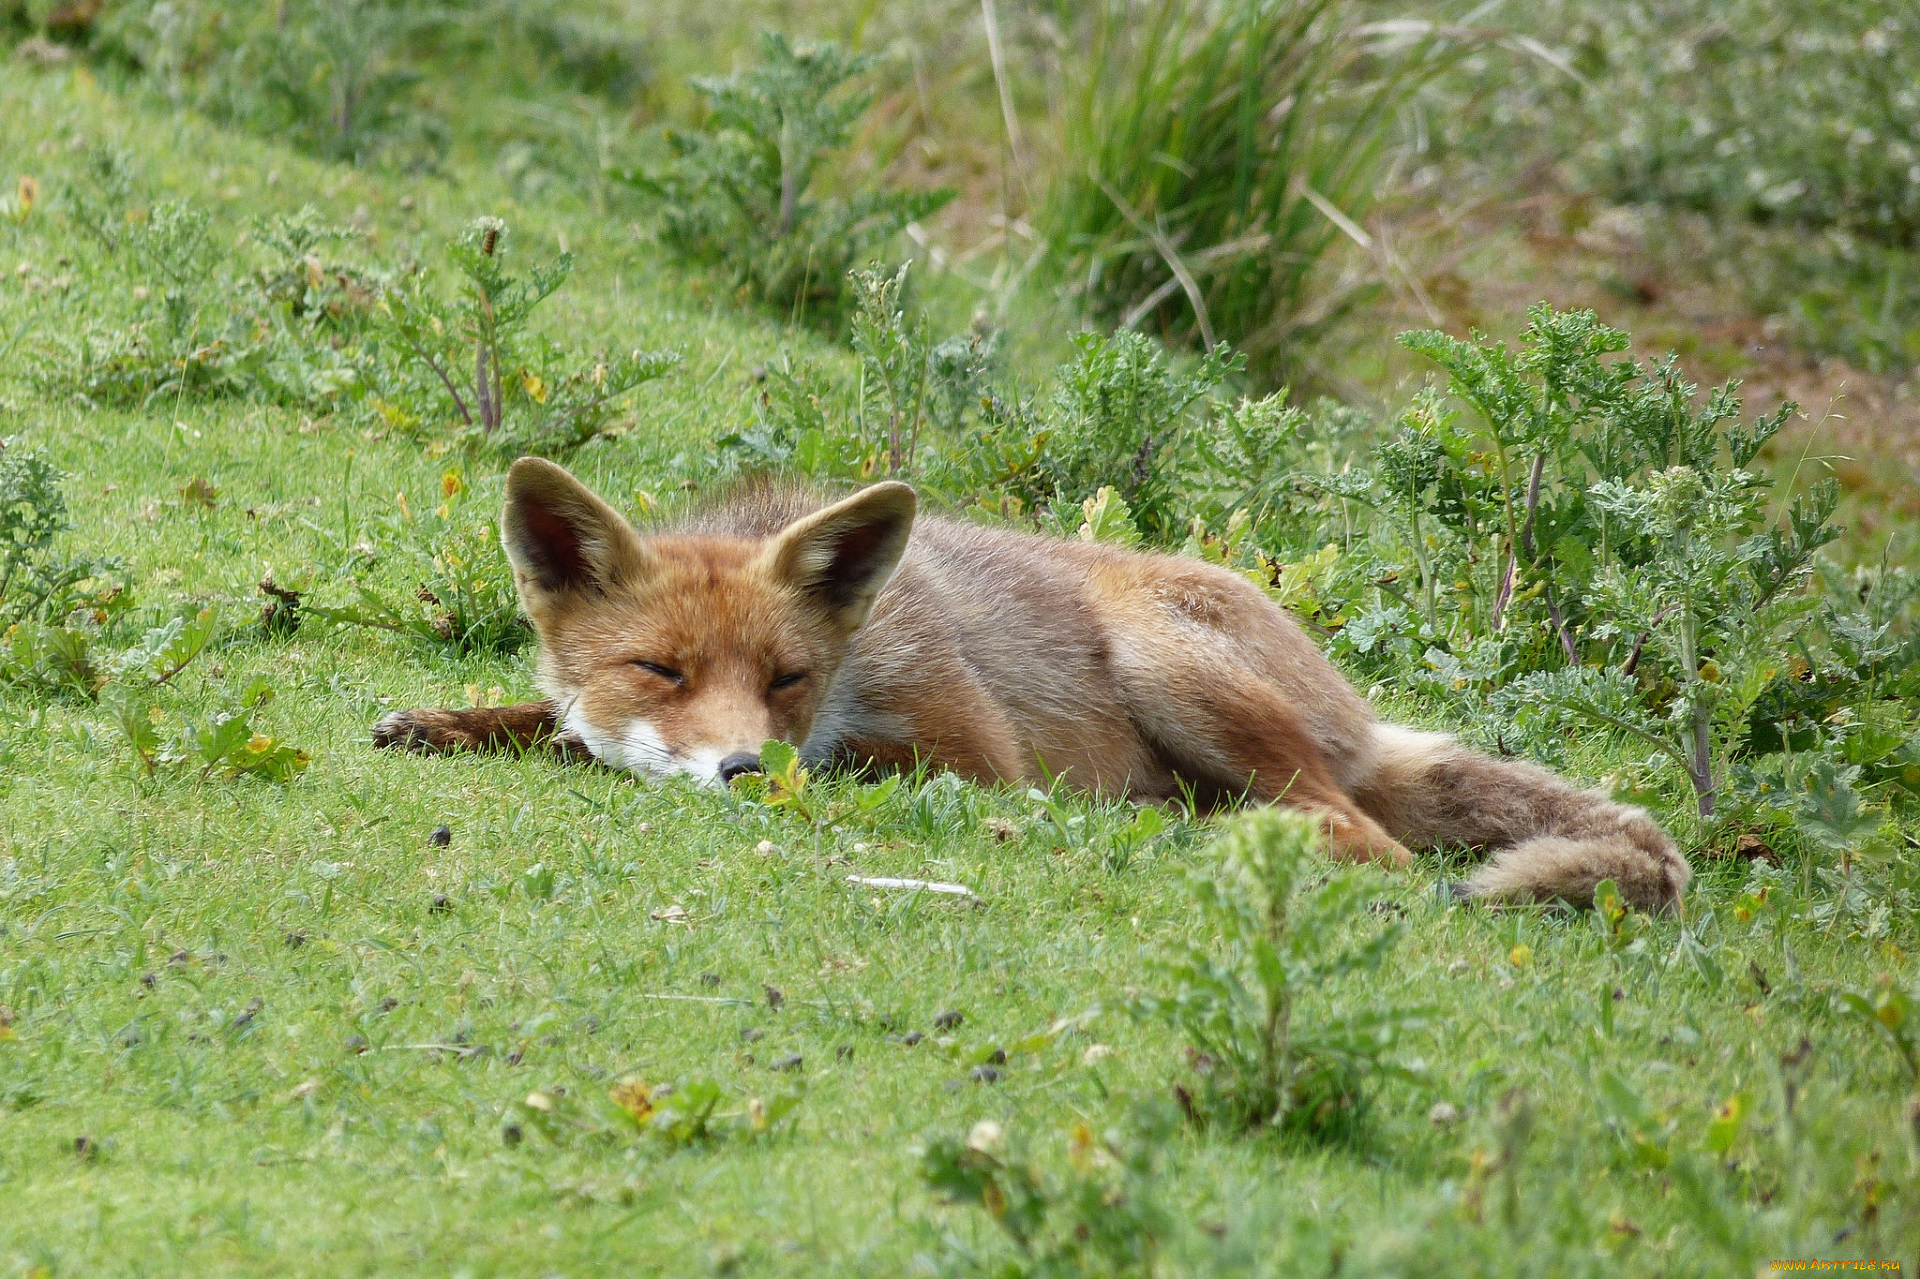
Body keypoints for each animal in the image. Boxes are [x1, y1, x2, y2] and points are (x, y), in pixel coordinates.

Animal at [374, 455, 1697, 906]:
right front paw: (451, 721)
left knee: (1360, 837)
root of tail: (1360, 715)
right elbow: (550, 720)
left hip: (1165, 659)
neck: (858, 674)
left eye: (788, 678)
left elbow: (869, 771)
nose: (746, 768)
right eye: (660, 667)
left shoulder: (971, 750)